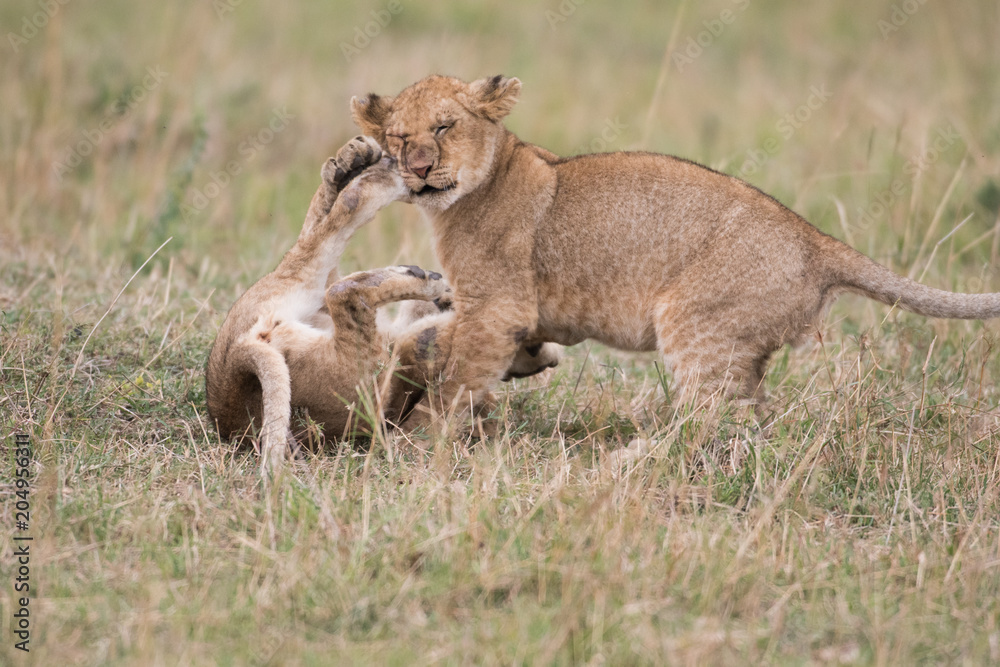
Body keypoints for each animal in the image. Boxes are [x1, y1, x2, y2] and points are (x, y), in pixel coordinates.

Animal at [205, 136, 559, 473]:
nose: (549, 357)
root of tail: (236, 361)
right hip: (358, 369)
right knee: (342, 261)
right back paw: (383, 181)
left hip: (300, 301)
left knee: (330, 259)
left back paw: (352, 166)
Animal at [350, 74, 1000, 421]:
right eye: (399, 137)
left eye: (445, 127)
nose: (418, 168)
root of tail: (815, 240)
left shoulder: (497, 308)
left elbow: (457, 381)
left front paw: (422, 441)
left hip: (697, 326)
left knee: (711, 424)